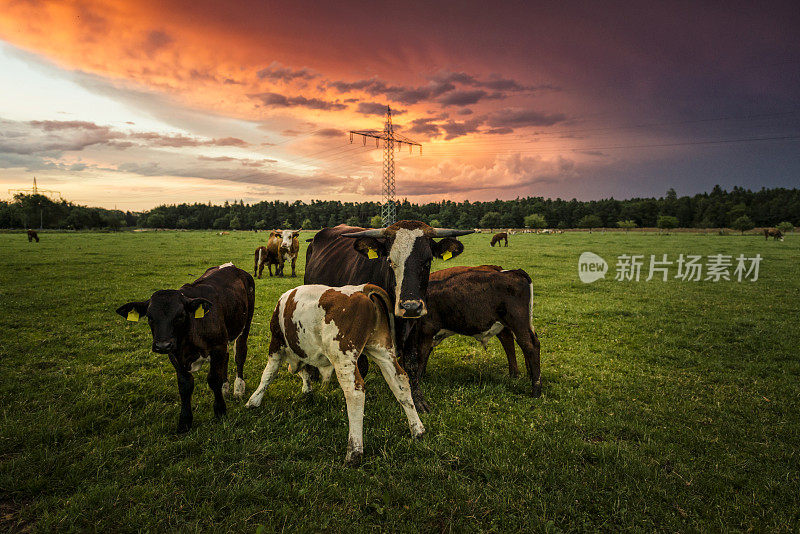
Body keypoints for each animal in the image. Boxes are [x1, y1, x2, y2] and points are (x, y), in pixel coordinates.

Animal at [114, 264, 253, 436]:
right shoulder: (175, 354)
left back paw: (238, 388)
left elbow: (213, 379)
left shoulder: (217, 346)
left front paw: (220, 411)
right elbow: (185, 385)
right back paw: (225, 388)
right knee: (226, 359)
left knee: (239, 354)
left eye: (180, 315)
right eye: (150, 317)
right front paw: (185, 422)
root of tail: (231, 266)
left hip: (244, 324)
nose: (162, 345)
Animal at [245, 284, 424, 464]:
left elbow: (268, 374)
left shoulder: (276, 343)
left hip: (343, 356)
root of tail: (362, 289)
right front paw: (307, 388)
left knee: (355, 392)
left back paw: (354, 452)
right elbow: (304, 372)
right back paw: (418, 431)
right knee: (400, 382)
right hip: (381, 350)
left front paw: (253, 401)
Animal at [304, 222, 472, 414]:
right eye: (390, 261)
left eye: (428, 261)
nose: (410, 306)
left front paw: (418, 400)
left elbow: (412, 363)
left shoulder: (415, 326)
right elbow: (362, 366)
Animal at [406, 266, 544, 400]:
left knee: (530, 346)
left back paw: (535, 391)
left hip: (518, 323)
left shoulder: (426, 330)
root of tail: (513, 272)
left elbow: (420, 356)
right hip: (523, 324)